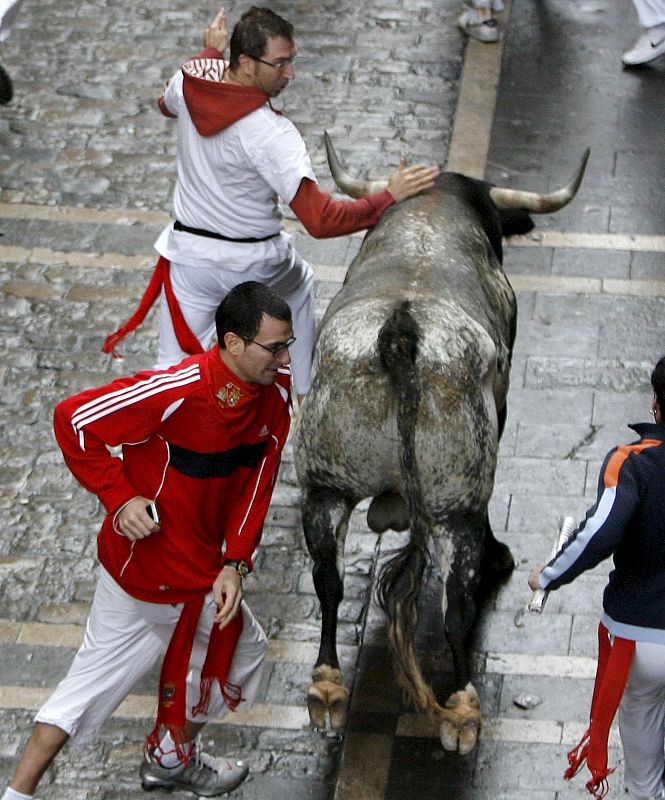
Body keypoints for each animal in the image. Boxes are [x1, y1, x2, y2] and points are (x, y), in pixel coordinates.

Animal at [294, 134, 588, 752]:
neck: (431, 217)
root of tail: (399, 332)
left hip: (325, 484)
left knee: (328, 581)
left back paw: (327, 689)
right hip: (458, 502)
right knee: (459, 603)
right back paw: (462, 707)